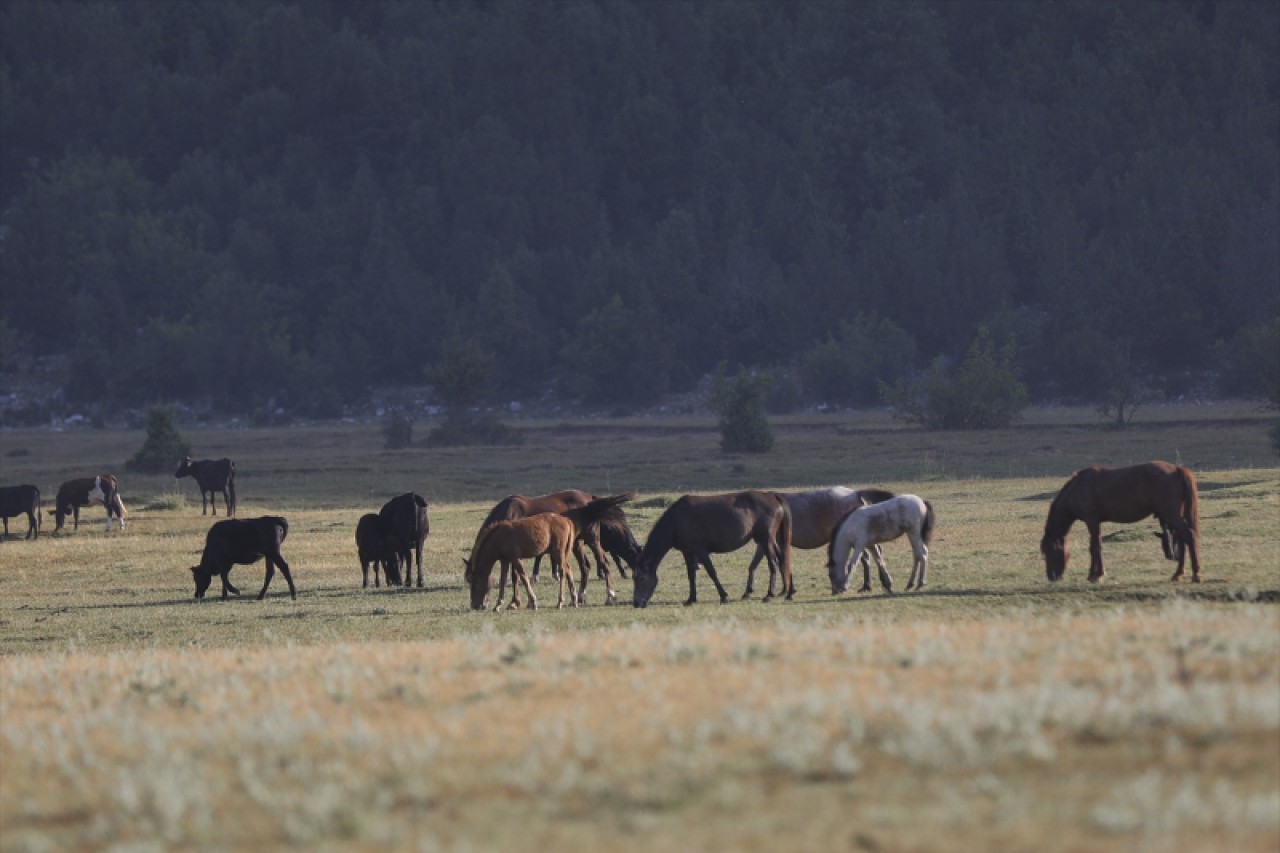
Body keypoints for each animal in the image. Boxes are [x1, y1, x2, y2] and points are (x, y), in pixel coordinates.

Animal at [1039, 461, 1198, 581]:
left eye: (1049, 551)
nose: (1051, 577)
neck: (1078, 487)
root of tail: (1177, 469)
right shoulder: (1094, 522)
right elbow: (1095, 546)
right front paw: (1094, 574)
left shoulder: (1092, 520)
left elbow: (1095, 547)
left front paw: (1097, 575)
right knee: (1182, 539)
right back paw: (1178, 574)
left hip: (1171, 514)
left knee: (1188, 536)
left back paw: (1195, 574)